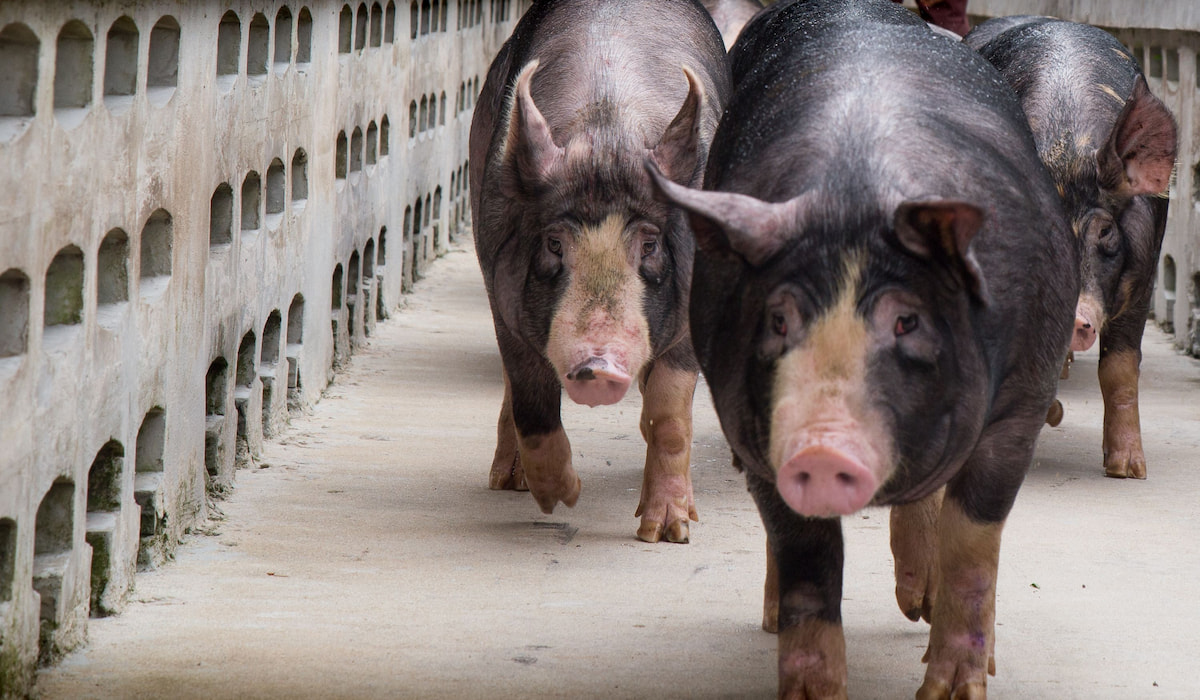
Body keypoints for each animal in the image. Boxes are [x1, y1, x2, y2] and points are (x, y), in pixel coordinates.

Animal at [468, 0, 731, 543]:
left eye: (649, 243)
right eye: (554, 242)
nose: (597, 367)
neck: (607, 126)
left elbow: (671, 413)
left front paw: (668, 533)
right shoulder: (501, 293)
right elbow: (531, 401)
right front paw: (562, 498)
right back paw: (507, 481)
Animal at [647, 0, 1077, 696]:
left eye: (907, 321)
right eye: (778, 319)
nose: (821, 446)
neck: (855, 192)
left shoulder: (1024, 399)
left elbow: (972, 540)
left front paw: (952, 687)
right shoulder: (755, 429)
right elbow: (810, 559)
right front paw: (812, 688)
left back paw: (918, 609)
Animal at [965, 17, 1178, 479]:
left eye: (1106, 234)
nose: (1073, 317)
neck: (1068, 148)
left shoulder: (1145, 276)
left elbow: (1119, 368)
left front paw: (1129, 470)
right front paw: (1052, 415)